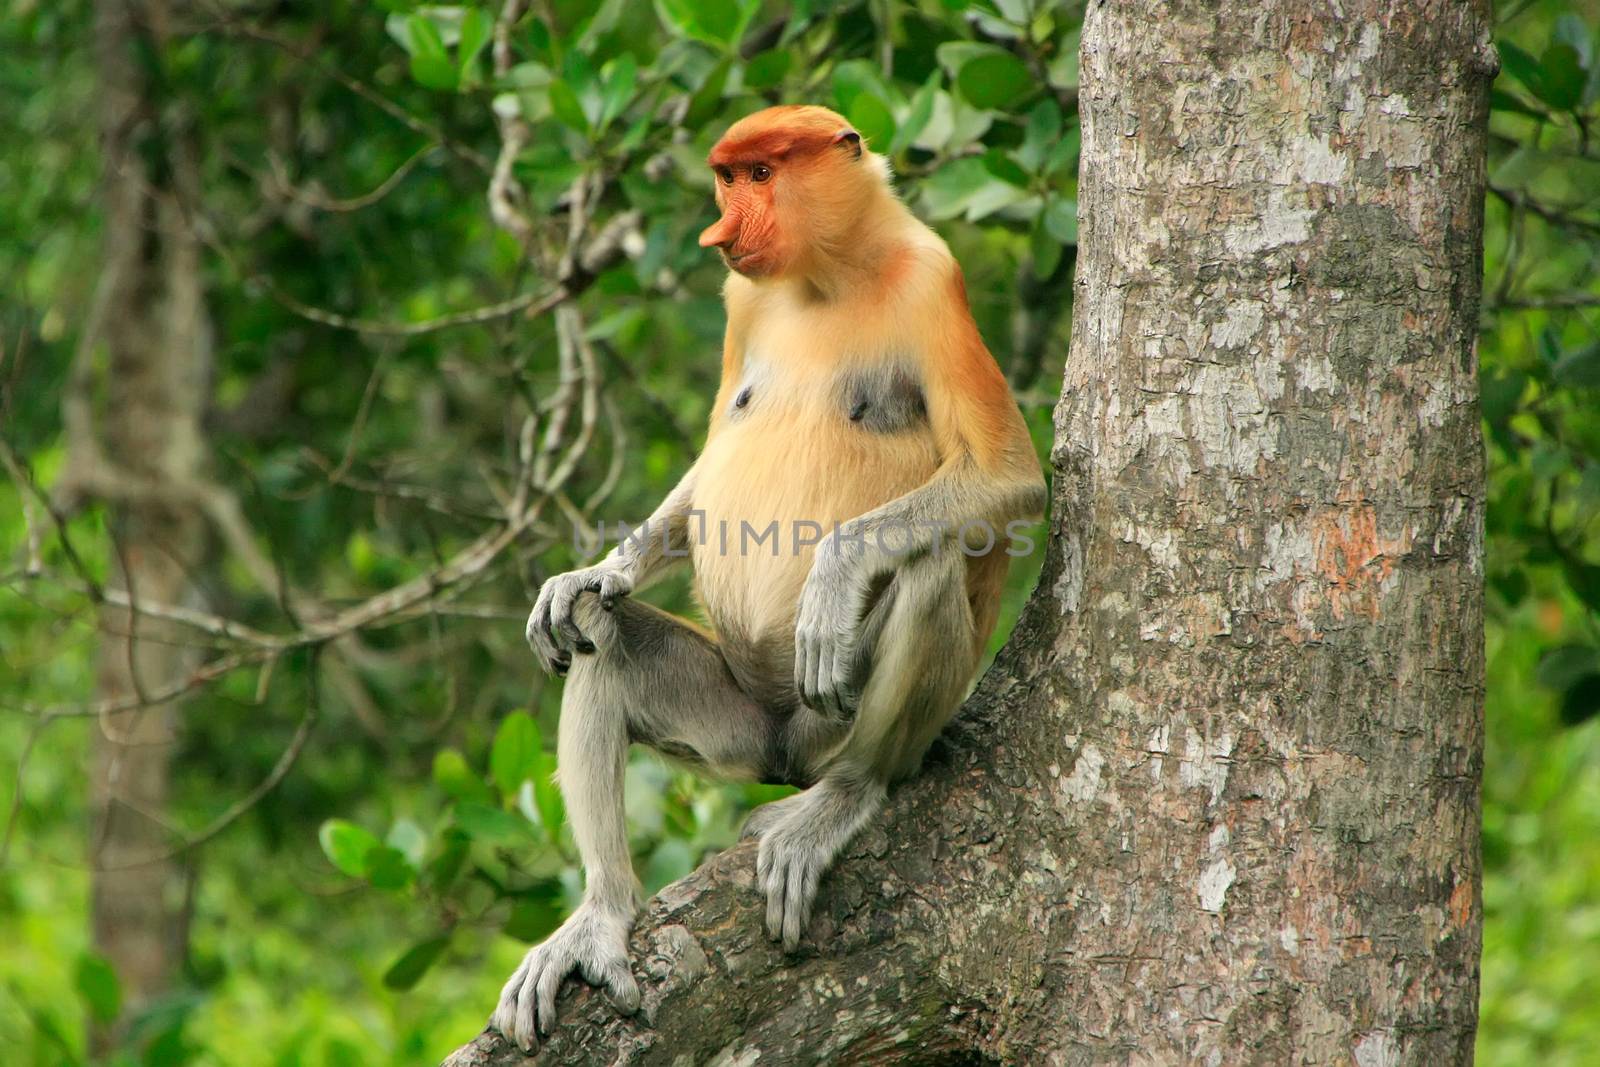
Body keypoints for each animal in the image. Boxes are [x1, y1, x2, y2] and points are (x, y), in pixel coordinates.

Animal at [492, 103, 1043, 1049]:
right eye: (728, 177)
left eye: (761, 175)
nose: (721, 231)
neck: (829, 273)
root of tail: (789, 749)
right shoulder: (741, 301)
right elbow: (705, 469)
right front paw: (592, 571)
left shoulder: (935, 284)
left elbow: (1008, 474)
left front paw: (832, 577)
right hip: (741, 726)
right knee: (605, 636)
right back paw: (601, 912)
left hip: (832, 725)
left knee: (927, 563)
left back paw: (841, 799)